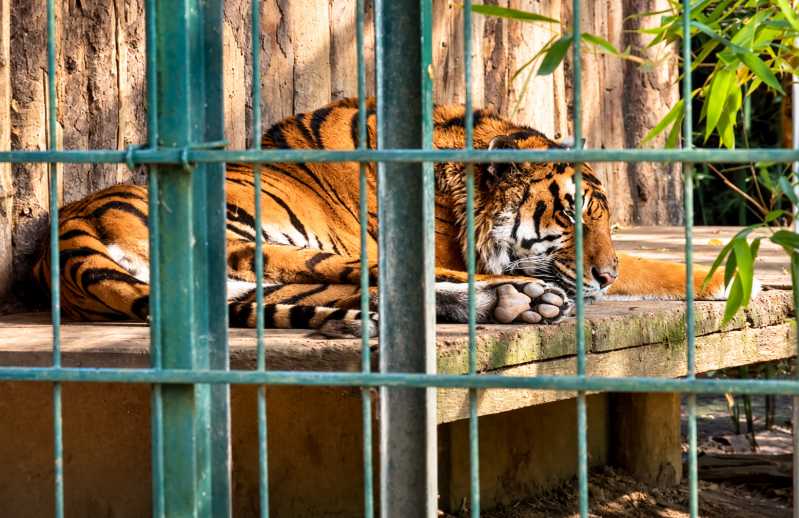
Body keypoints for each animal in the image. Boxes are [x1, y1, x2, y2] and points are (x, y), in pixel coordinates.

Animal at [33, 97, 745, 338]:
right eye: (569, 219)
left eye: (606, 221)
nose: (603, 276)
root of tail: (63, 236)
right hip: (267, 243)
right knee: (376, 281)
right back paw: (522, 297)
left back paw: (508, 304)